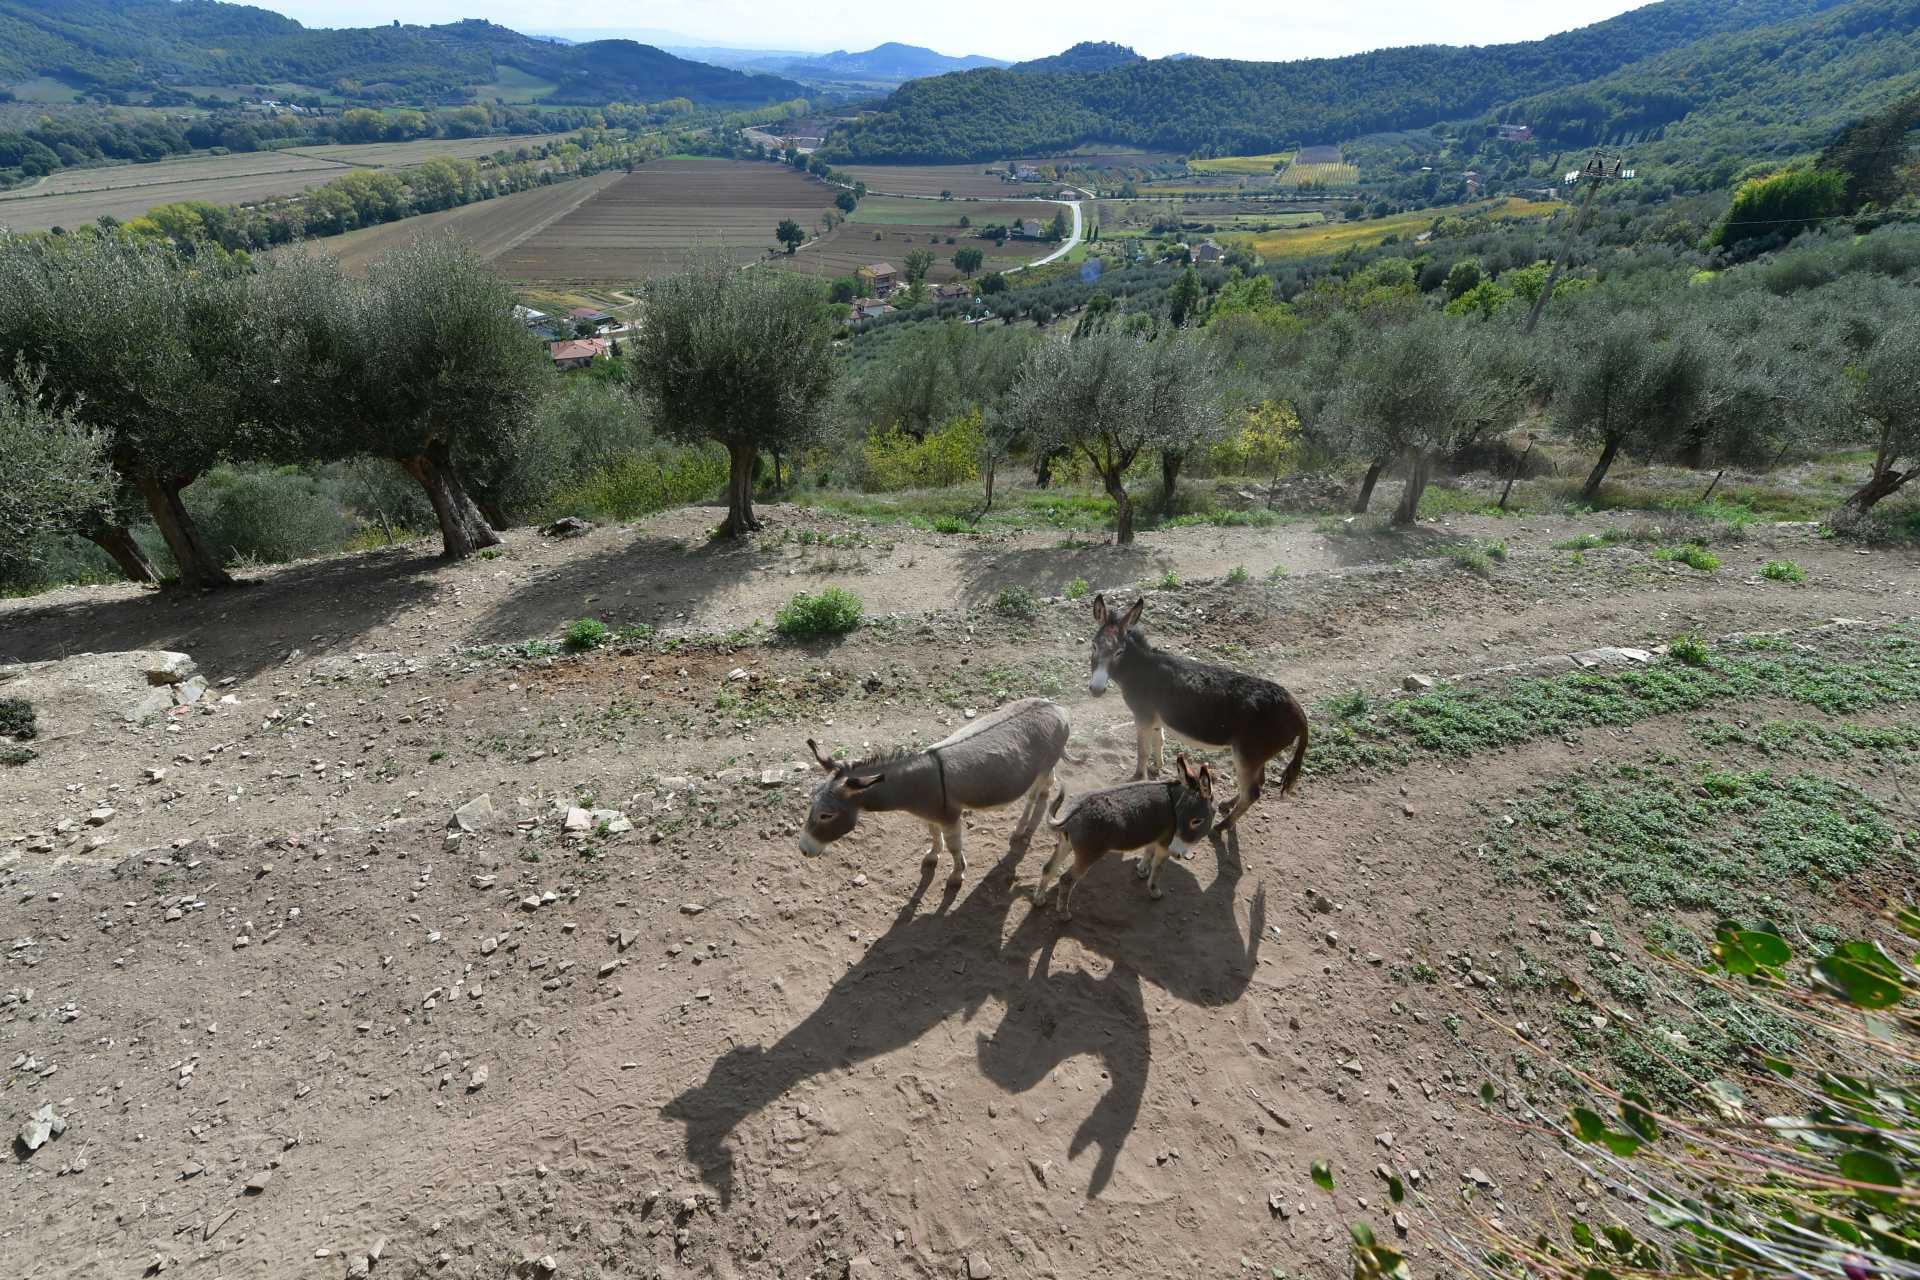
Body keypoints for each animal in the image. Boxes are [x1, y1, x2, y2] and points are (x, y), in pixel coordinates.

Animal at [1090, 594, 1313, 836]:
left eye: (1118, 652)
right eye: (1093, 646)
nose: (1096, 690)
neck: (1141, 668)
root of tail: (1299, 714)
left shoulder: (1143, 716)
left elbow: (1142, 751)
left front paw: (1138, 778)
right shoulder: (1156, 718)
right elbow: (1159, 741)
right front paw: (1158, 767)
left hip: (1247, 753)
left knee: (1252, 793)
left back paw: (1221, 826)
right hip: (1255, 755)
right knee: (1258, 783)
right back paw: (1227, 804)